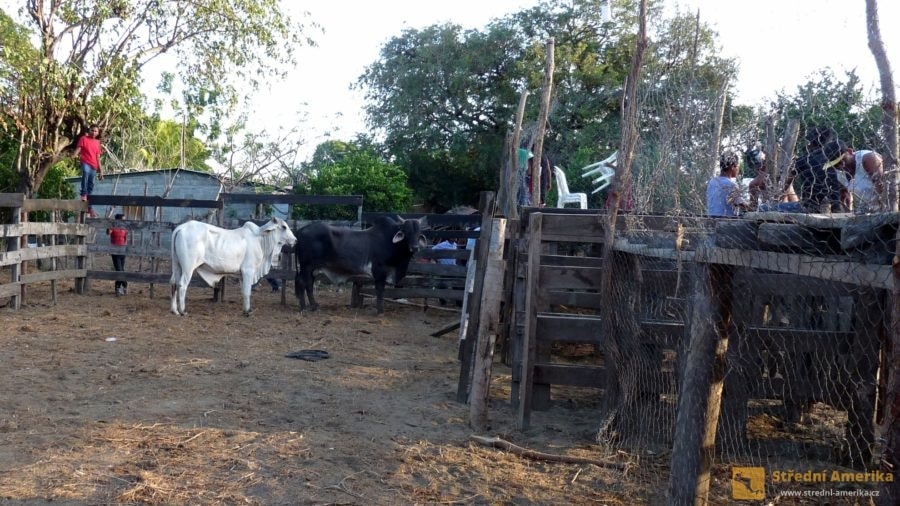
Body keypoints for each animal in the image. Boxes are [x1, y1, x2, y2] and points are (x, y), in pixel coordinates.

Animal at [168, 217, 296, 316]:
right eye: (284, 227)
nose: (295, 240)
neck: (260, 239)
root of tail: (181, 228)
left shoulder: (242, 275)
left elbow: (244, 291)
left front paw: (246, 309)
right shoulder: (248, 271)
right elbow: (247, 291)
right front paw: (247, 312)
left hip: (177, 265)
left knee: (174, 282)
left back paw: (174, 310)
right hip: (188, 267)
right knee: (182, 284)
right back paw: (183, 311)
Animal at [292, 213, 426, 312]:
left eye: (419, 232)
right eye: (406, 231)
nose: (415, 247)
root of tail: (300, 231)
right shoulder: (380, 270)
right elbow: (380, 290)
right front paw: (380, 310)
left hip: (312, 268)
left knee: (308, 284)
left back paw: (314, 305)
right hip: (307, 266)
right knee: (303, 283)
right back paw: (304, 307)